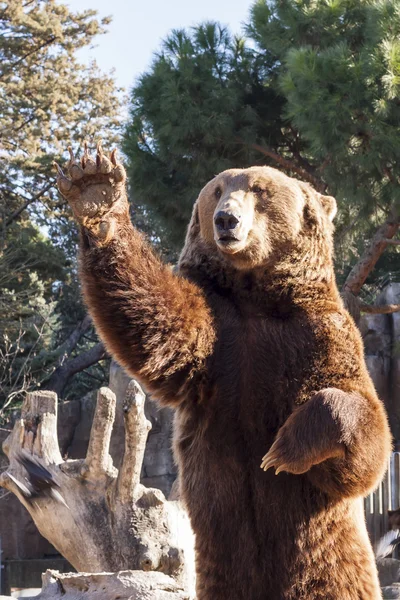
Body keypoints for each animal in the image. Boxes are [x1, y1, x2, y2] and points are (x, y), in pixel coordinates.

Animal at [57, 145, 392, 600]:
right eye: (217, 191)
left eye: (260, 189)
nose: (226, 220)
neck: (254, 296)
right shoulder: (217, 340)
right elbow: (157, 321)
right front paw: (95, 188)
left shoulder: (318, 334)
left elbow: (364, 428)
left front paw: (282, 450)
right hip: (221, 557)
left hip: (325, 553)